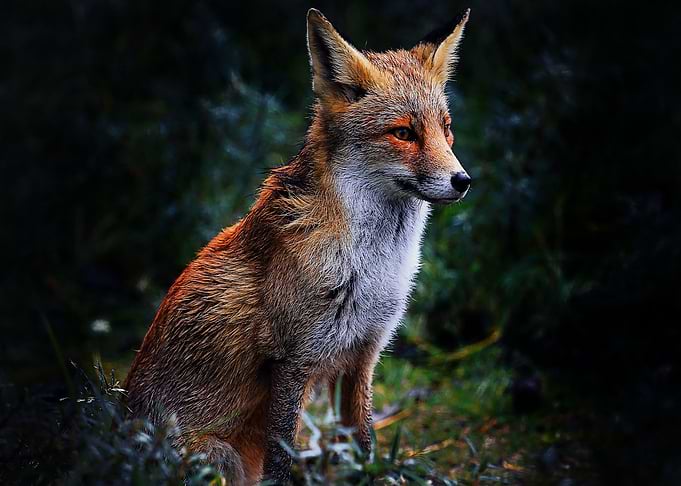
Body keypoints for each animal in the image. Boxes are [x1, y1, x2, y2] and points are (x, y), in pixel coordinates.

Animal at [124, 8, 472, 485]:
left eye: (447, 129)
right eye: (403, 133)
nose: (463, 180)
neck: (373, 267)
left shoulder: (361, 356)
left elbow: (364, 446)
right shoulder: (292, 360)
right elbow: (281, 458)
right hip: (218, 457)